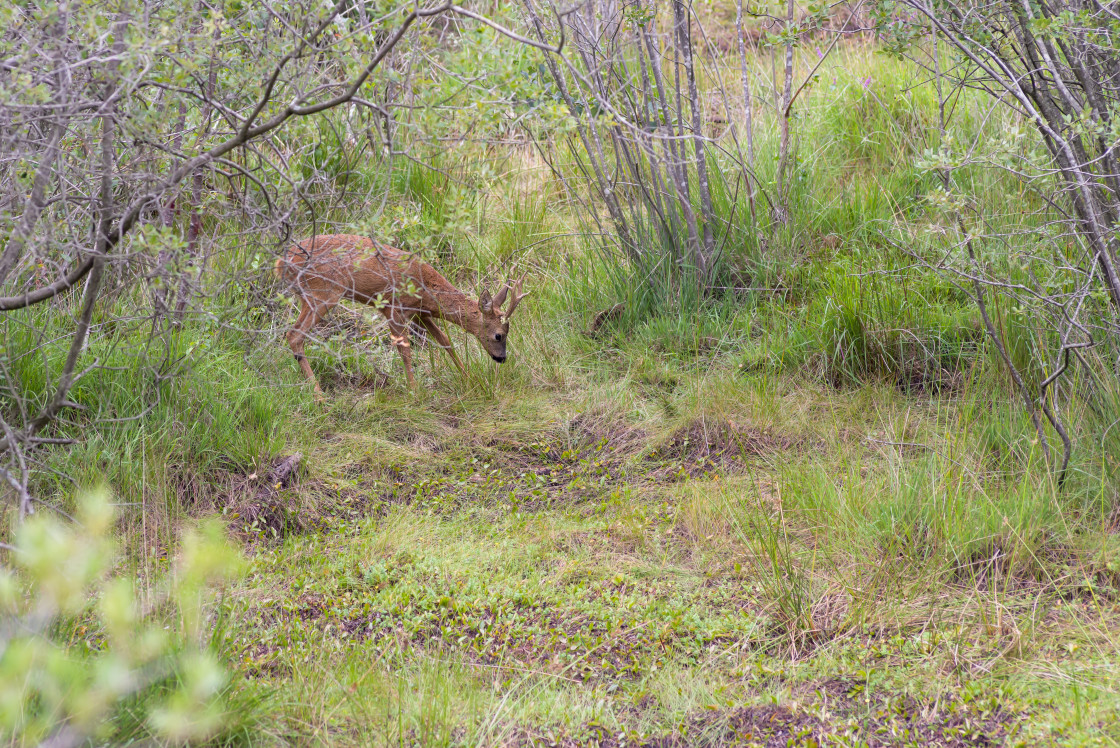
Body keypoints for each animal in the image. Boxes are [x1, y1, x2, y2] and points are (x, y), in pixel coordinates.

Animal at [274, 234, 528, 396]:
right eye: (498, 335)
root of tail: (281, 262)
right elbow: (404, 348)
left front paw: (468, 376)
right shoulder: (393, 308)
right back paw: (319, 396)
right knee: (294, 335)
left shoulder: (419, 312)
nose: (502, 358)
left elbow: (445, 341)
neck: (426, 287)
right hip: (323, 293)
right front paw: (414, 391)